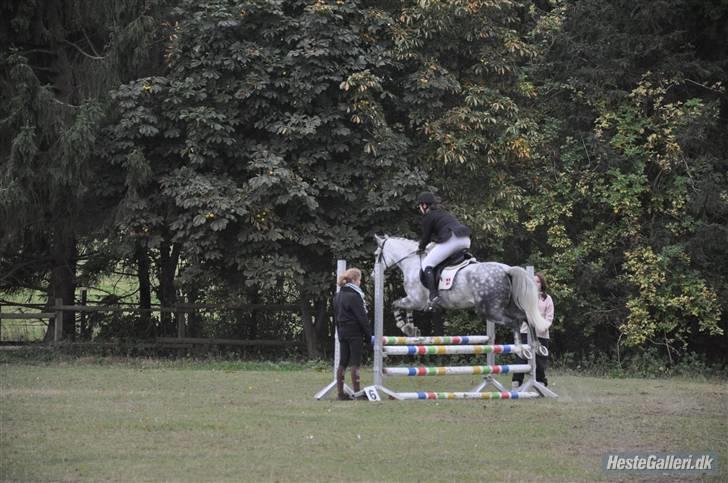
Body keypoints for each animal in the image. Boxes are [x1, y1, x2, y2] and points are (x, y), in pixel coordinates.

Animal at [376, 236, 544, 358]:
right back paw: (538, 347)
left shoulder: (416, 301)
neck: (412, 263)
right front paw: (412, 330)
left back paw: (520, 350)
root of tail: (506, 269)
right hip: (505, 306)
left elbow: (395, 304)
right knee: (525, 317)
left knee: (515, 321)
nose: (373, 274)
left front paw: (404, 326)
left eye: (376, 255)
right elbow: (404, 308)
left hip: (490, 311)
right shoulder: (413, 301)